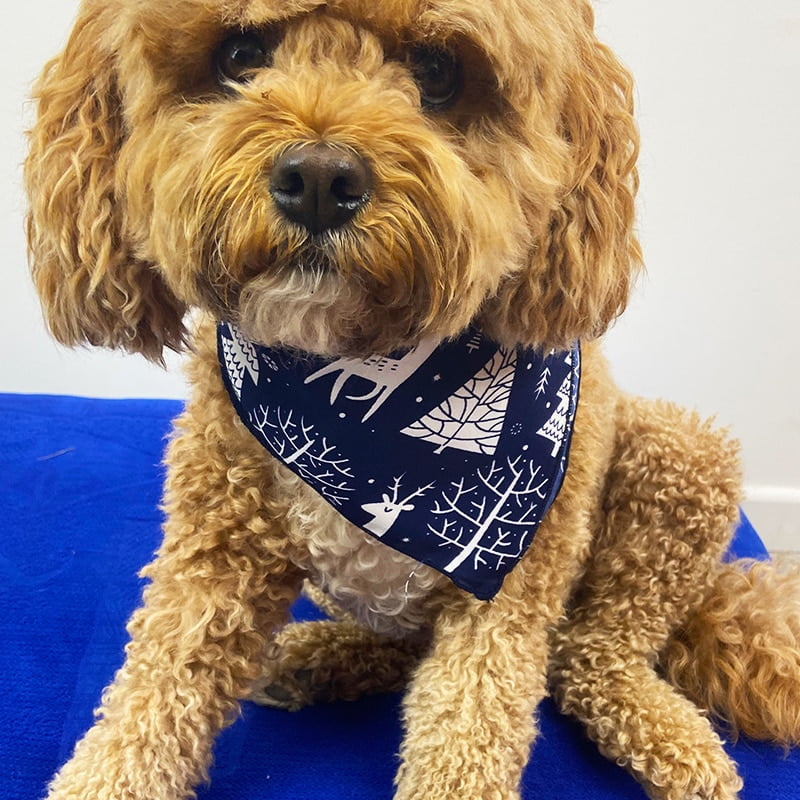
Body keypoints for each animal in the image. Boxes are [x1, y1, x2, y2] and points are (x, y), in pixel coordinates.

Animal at [23, 1, 800, 800]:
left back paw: (671, 735)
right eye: (239, 55)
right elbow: (158, 688)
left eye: (437, 71)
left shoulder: (503, 594)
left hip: (678, 461)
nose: (319, 176)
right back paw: (321, 656)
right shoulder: (216, 549)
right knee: (413, 645)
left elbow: (469, 728)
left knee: (591, 652)